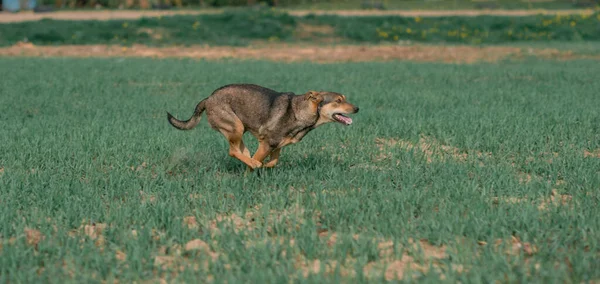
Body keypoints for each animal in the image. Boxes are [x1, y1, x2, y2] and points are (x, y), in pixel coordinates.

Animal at [166, 83, 358, 170]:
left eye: (344, 98)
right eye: (338, 101)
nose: (357, 108)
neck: (302, 110)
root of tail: (208, 98)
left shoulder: (276, 146)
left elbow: (273, 162)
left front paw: (263, 167)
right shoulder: (266, 144)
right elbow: (259, 162)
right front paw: (253, 172)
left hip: (239, 131)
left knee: (241, 152)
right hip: (236, 127)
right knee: (233, 151)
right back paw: (253, 164)